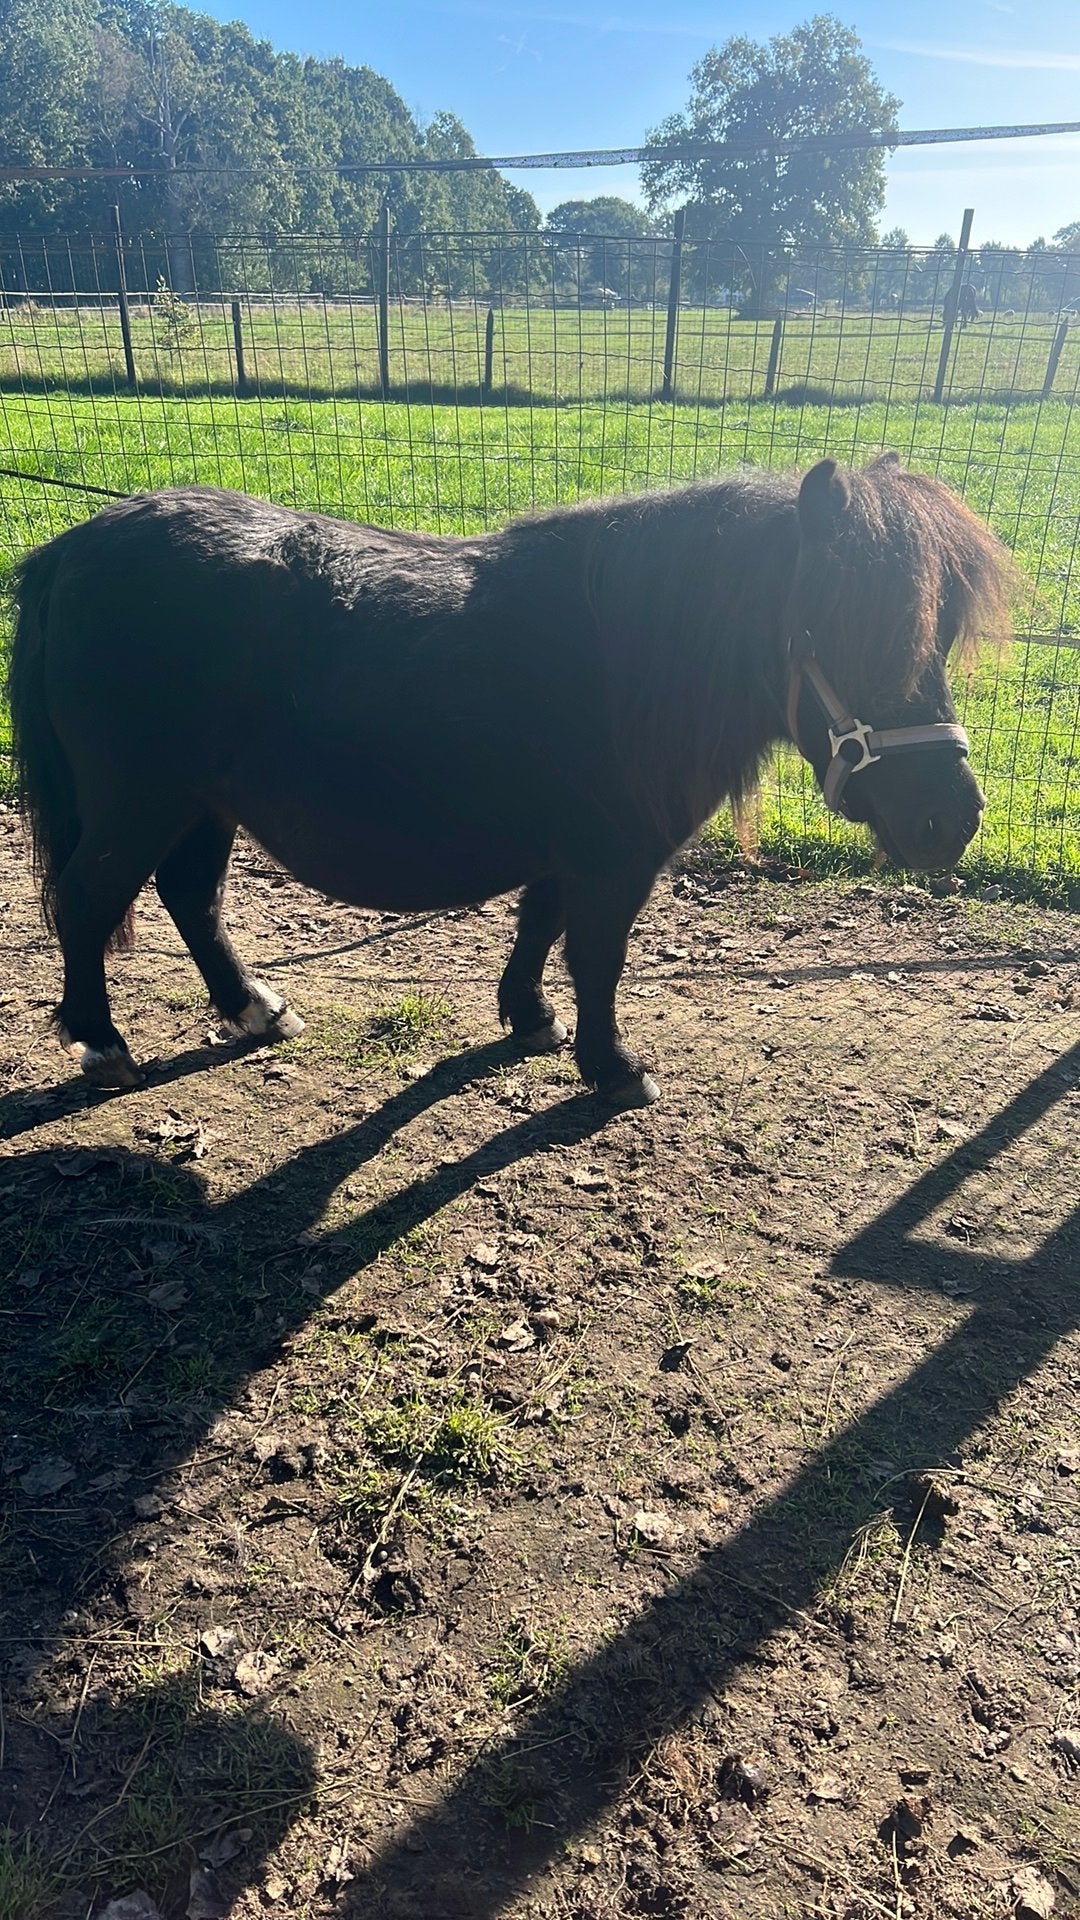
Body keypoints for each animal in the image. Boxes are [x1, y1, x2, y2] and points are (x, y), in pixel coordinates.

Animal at [7, 456, 1012, 1108]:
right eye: (844, 633)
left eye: (938, 631)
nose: (953, 819)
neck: (629, 656)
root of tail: (70, 549)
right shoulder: (614, 859)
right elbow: (596, 953)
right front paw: (613, 1067)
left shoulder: (569, 846)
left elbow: (540, 925)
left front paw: (529, 1021)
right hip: (141, 800)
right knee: (93, 897)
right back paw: (102, 1044)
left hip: (200, 803)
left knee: (190, 897)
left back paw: (255, 1009)